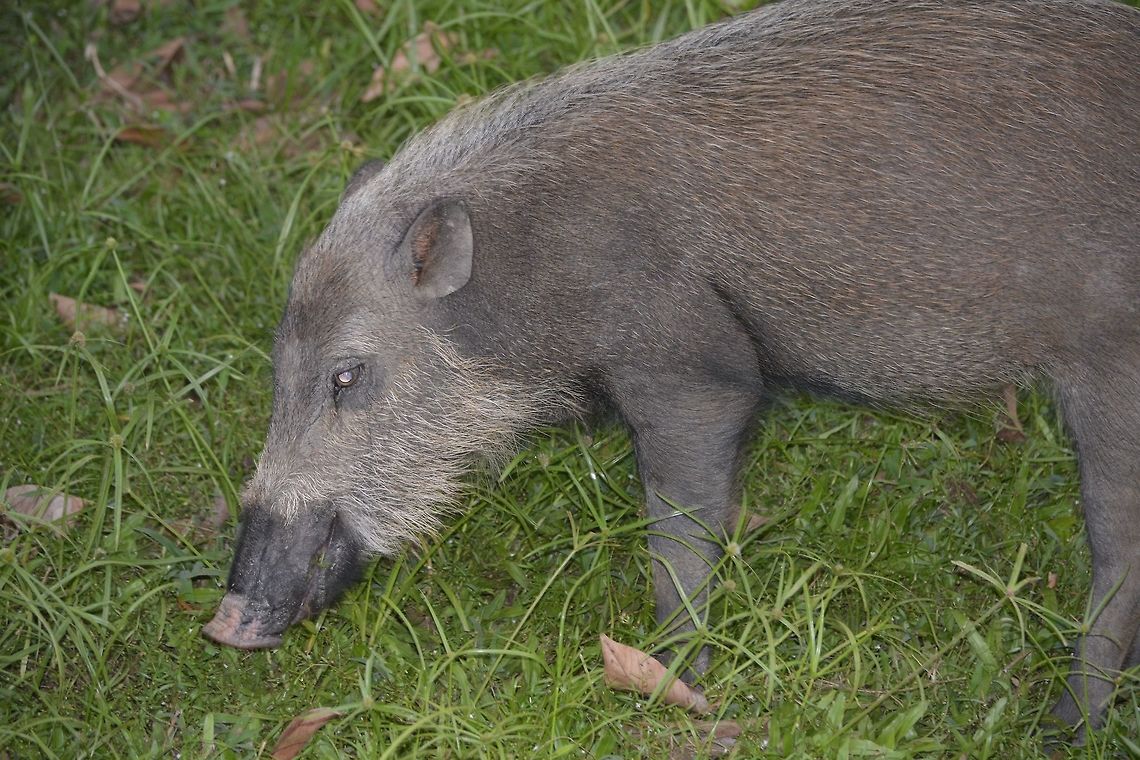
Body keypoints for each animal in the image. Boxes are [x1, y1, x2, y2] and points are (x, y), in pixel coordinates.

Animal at [203, 0, 1140, 736]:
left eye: (347, 376)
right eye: (279, 366)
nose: (223, 627)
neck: (527, 284)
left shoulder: (690, 366)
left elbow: (678, 522)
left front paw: (674, 676)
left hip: (1112, 368)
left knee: (1118, 547)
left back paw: (1069, 726)